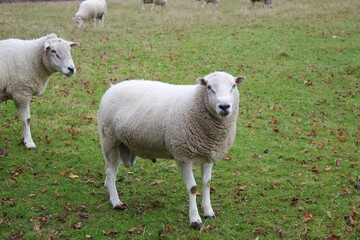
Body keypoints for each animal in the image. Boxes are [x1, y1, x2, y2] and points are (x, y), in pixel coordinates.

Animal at [97, 71, 246, 229]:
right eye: (209, 87)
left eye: (234, 86)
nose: (224, 106)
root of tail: (112, 87)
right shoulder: (183, 156)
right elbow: (193, 188)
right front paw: (195, 219)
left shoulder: (208, 156)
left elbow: (207, 183)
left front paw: (208, 212)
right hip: (109, 139)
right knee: (110, 171)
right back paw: (116, 202)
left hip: (120, 143)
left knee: (111, 171)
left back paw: (109, 190)